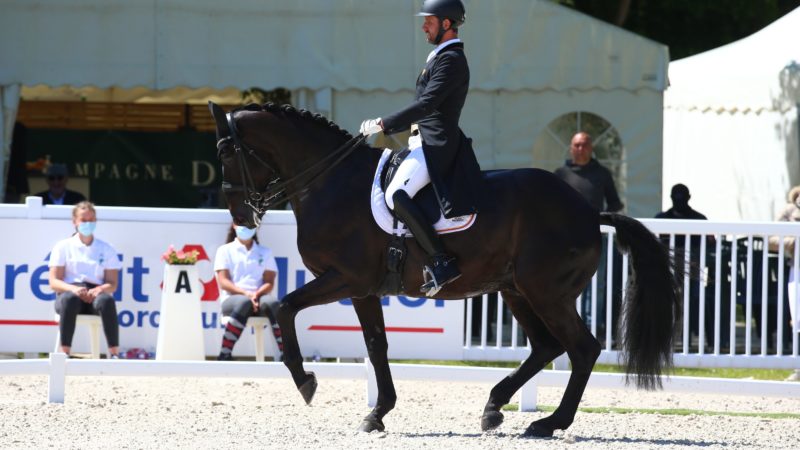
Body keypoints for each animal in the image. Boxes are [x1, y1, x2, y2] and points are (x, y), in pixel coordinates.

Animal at [209, 101, 680, 436]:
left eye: (226, 151)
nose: (241, 216)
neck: (331, 182)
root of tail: (587, 211)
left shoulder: (344, 278)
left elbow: (286, 307)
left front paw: (305, 381)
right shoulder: (363, 289)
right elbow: (376, 346)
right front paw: (377, 413)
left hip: (547, 292)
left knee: (582, 349)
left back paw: (547, 423)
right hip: (515, 290)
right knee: (546, 347)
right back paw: (494, 407)